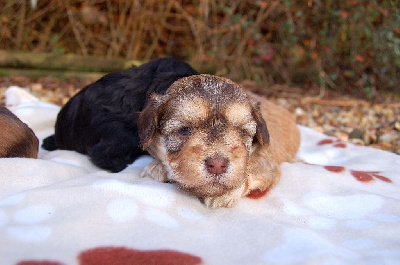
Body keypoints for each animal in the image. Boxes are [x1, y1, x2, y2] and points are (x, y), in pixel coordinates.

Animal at [139, 74, 298, 208]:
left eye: (242, 132)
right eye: (184, 130)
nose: (217, 165)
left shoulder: (268, 161)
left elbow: (249, 167)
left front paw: (224, 193)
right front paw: (157, 166)